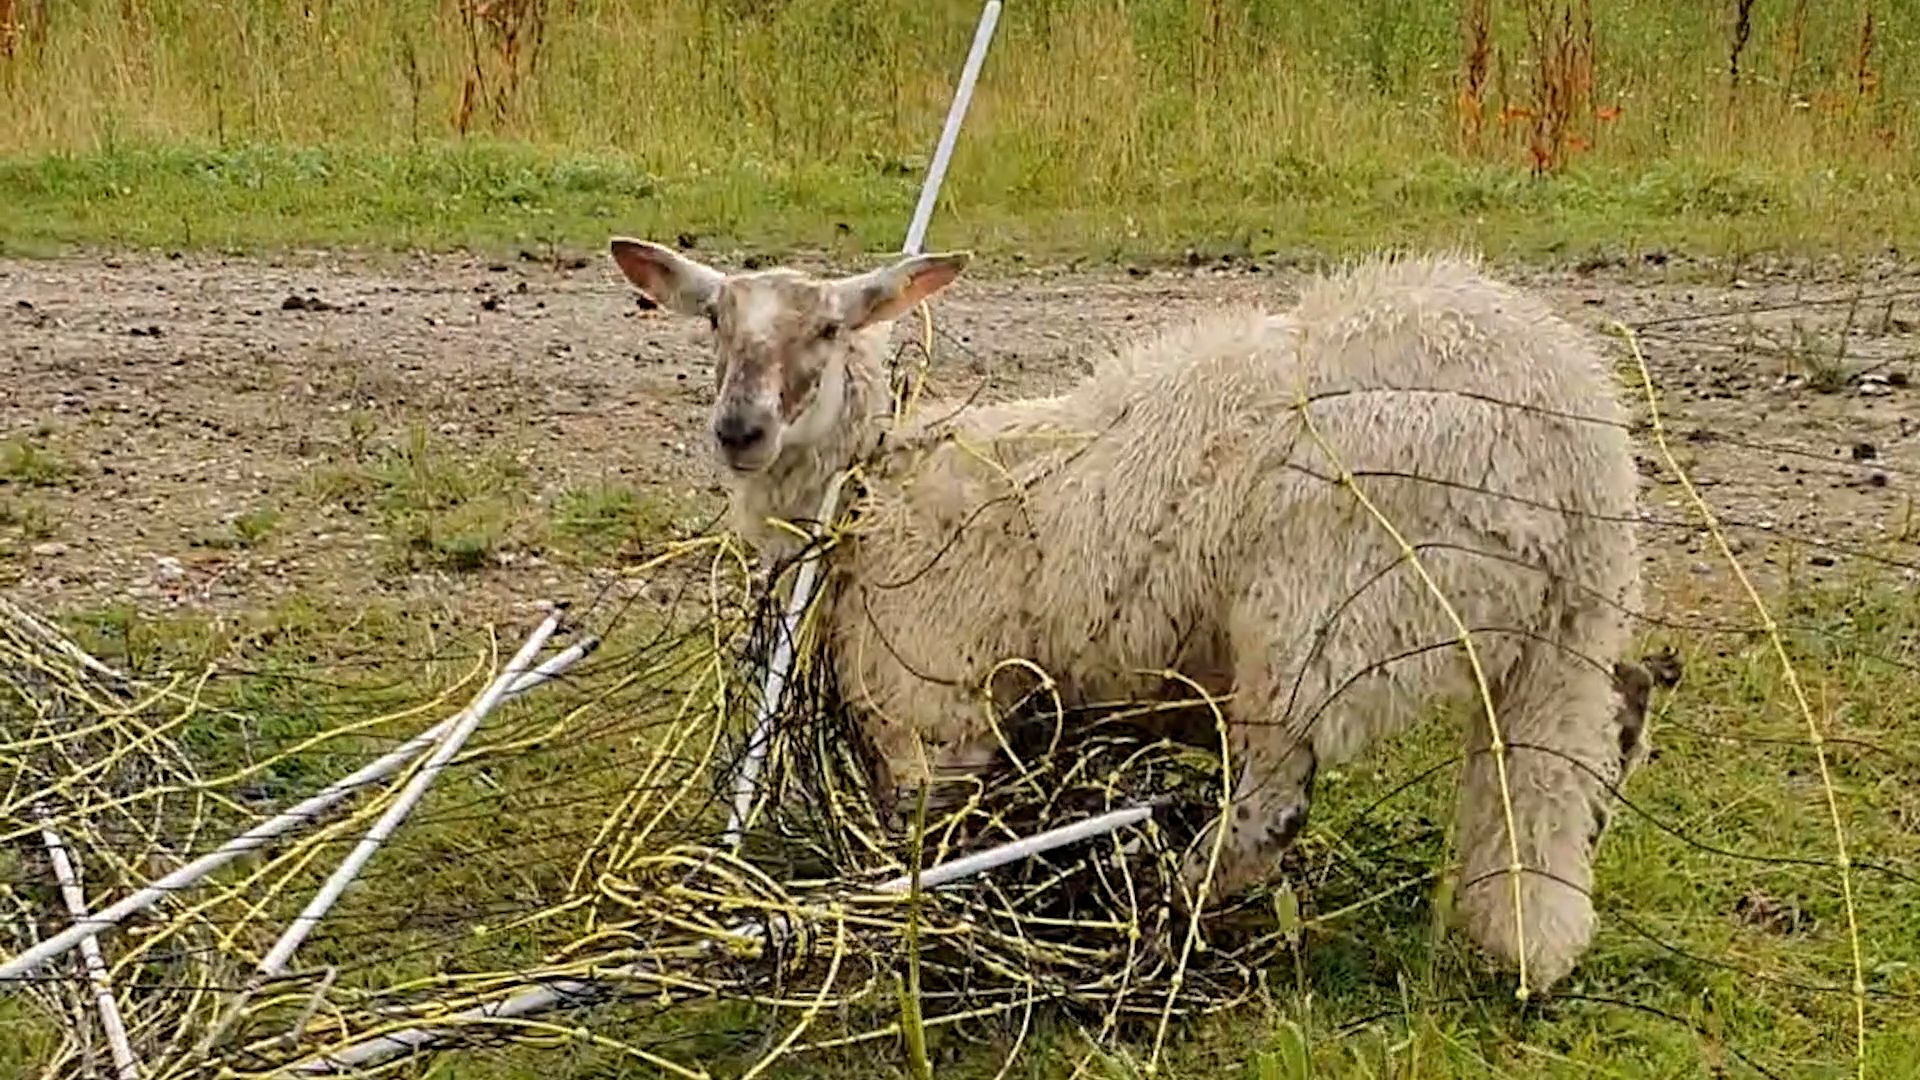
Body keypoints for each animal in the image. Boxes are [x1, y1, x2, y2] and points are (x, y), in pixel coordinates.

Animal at [610, 239, 1651, 991]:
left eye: (828, 328)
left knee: (1271, 809)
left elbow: (923, 843)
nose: (738, 431)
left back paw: (1167, 909)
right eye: (714, 320)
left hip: (1317, 619)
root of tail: (1574, 440)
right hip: (1556, 646)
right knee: (1568, 767)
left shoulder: (933, 707)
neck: (872, 476)